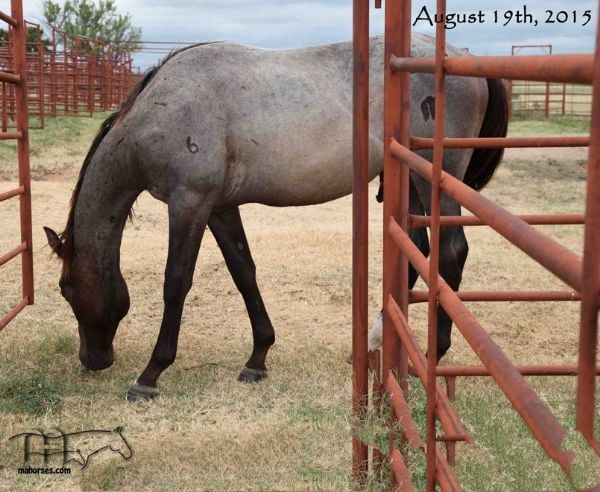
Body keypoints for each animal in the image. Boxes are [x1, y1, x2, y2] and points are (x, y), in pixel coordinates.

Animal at [44, 35, 508, 404]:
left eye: (67, 291)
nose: (93, 360)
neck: (163, 111)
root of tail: (462, 57)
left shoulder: (189, 203)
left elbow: (176, 283)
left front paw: (150, 375)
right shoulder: (219, 208)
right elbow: (243, 272)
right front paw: (258, 358)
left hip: (433, 176)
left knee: (450, 253)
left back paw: (431, 355)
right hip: (409, 177)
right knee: (417, 248)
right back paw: (376, 343)